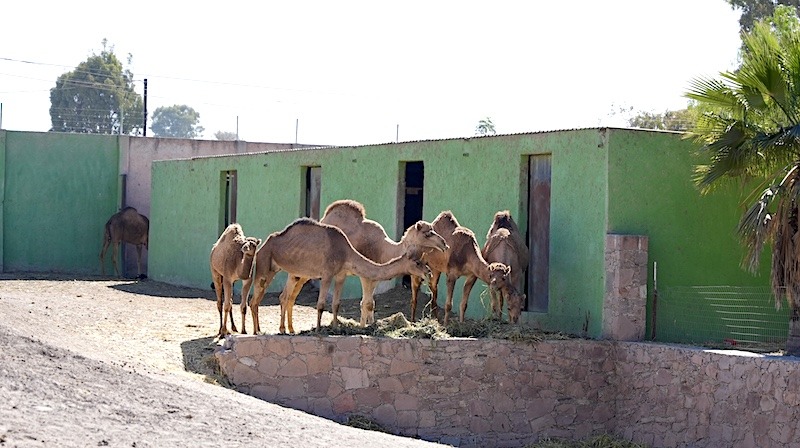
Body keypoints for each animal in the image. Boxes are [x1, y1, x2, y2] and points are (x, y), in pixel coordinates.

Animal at [242, 219, 432, 334]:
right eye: (417, 262)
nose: (428, 272)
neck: (345, 251)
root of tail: (264, 245)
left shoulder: (341, 275)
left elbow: (336, 304)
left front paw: (334, 327)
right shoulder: (326, 274)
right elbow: (320, 305)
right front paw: (319, 330)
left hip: (287, 271)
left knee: (280, 297)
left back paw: (281, 329)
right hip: (264, 265)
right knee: (255, 299)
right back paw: (257, 330)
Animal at [280, 201, 450, 328]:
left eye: (433, 230)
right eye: (427, 233)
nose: (444, 244)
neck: (383, 250)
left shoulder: (374, 276)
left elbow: (370, 304)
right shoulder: (364, 274)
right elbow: (366, 303)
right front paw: (363, 328)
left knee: (292, 294)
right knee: (288, 292)